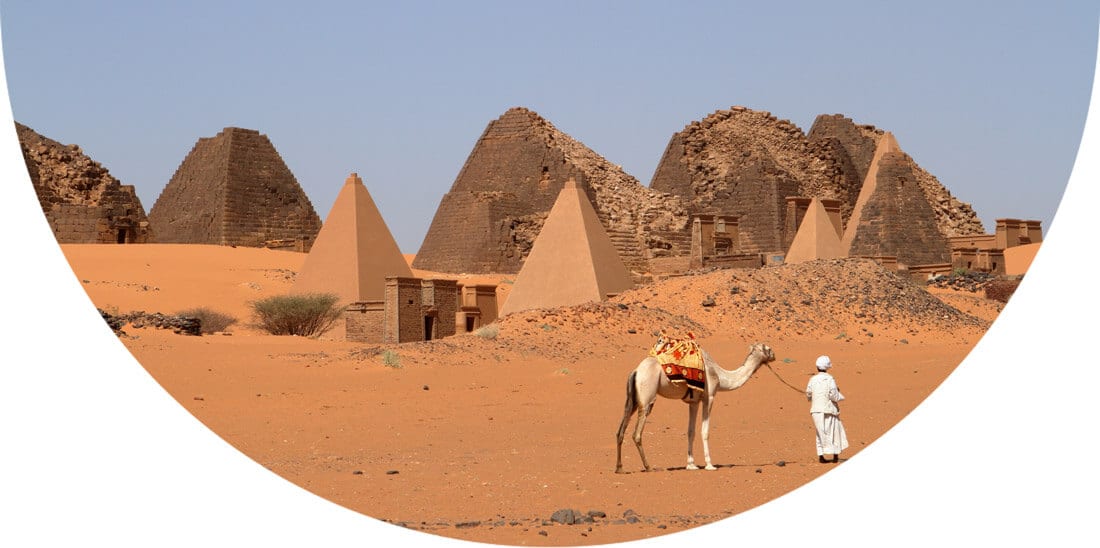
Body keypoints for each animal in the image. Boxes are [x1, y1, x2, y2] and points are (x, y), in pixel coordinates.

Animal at [616, 341, 778, 473]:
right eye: (768, 348)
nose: (774, 355)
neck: (720, 376)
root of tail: (636, 371)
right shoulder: (709, 397)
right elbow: (705, 431)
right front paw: (710, 465)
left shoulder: (694, 402)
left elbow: (690, 431)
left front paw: (691, 465)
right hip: (647, 397)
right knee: (637, 433)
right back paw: (649, 467)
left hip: (633, 399)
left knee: (620, 430)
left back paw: (620, 468)